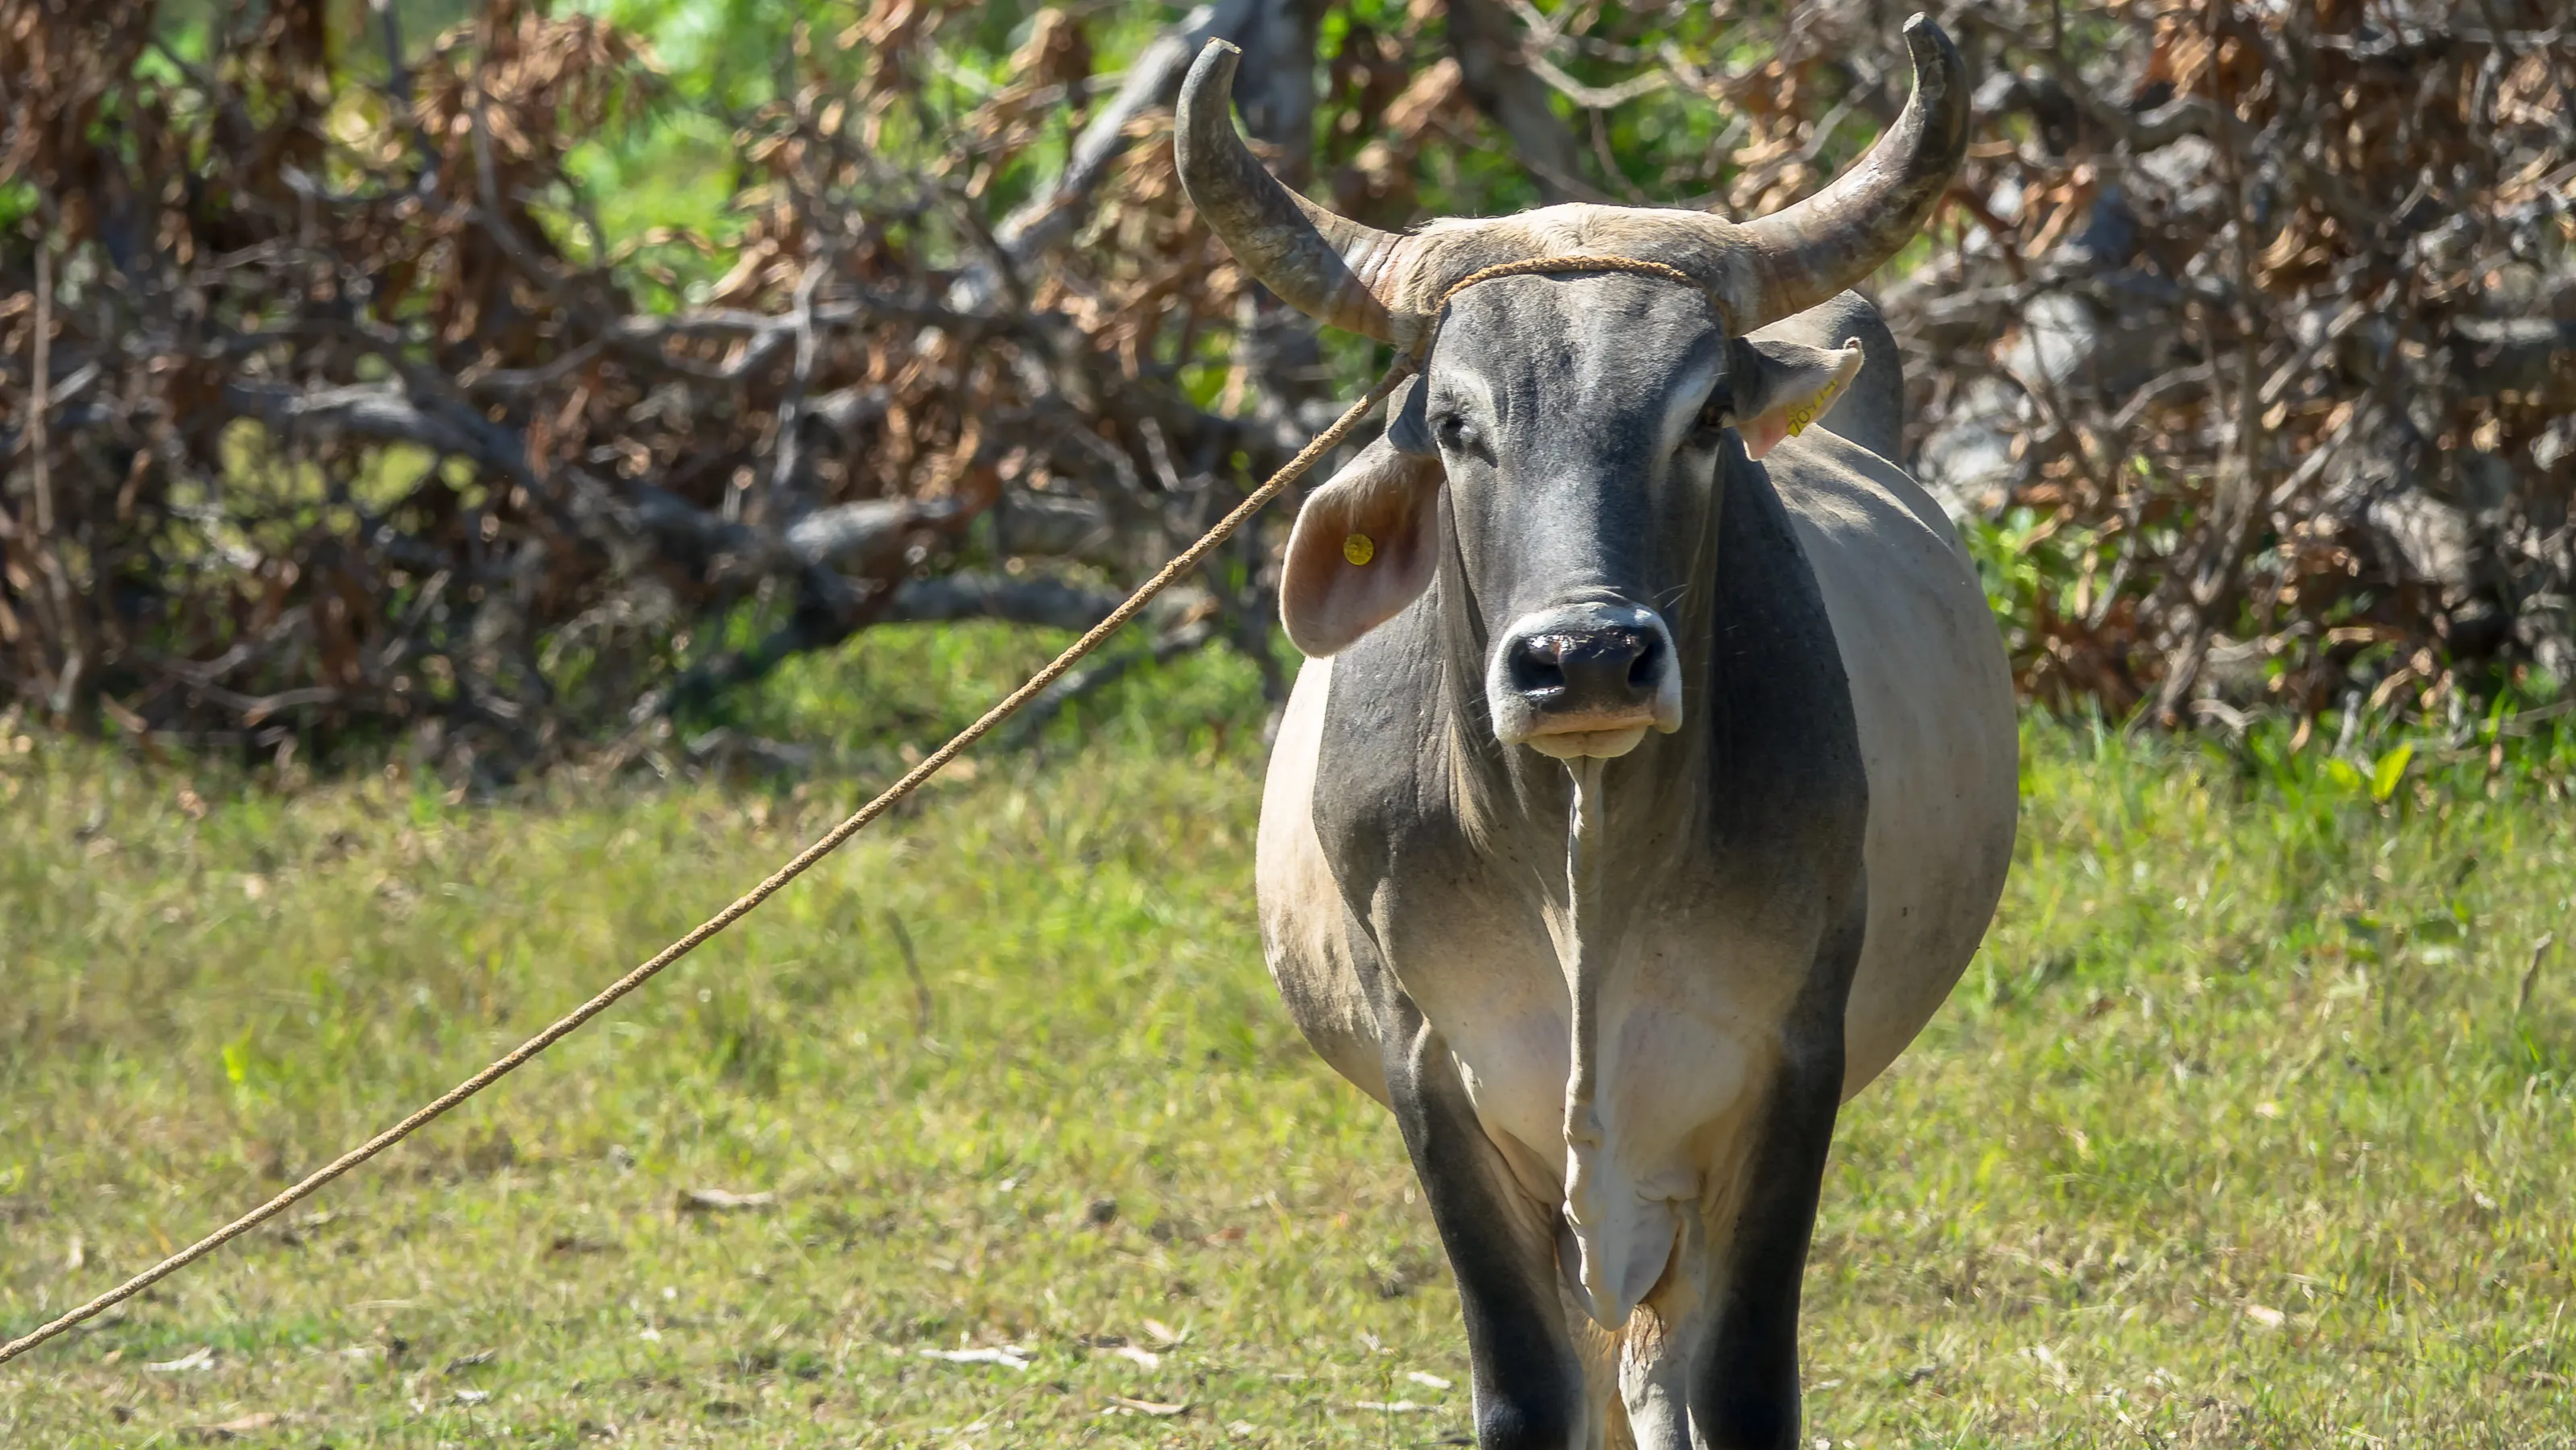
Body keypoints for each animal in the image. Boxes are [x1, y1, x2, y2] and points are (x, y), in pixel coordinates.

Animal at [1176, 15, 2018, 1450]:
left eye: (1707, 417)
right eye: (1454, 424)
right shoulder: (1434, 1079)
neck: (1584, 857)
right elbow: (1529, 1389)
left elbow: (1740, 1390)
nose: (1584, 662)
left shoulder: (1789, 1068)